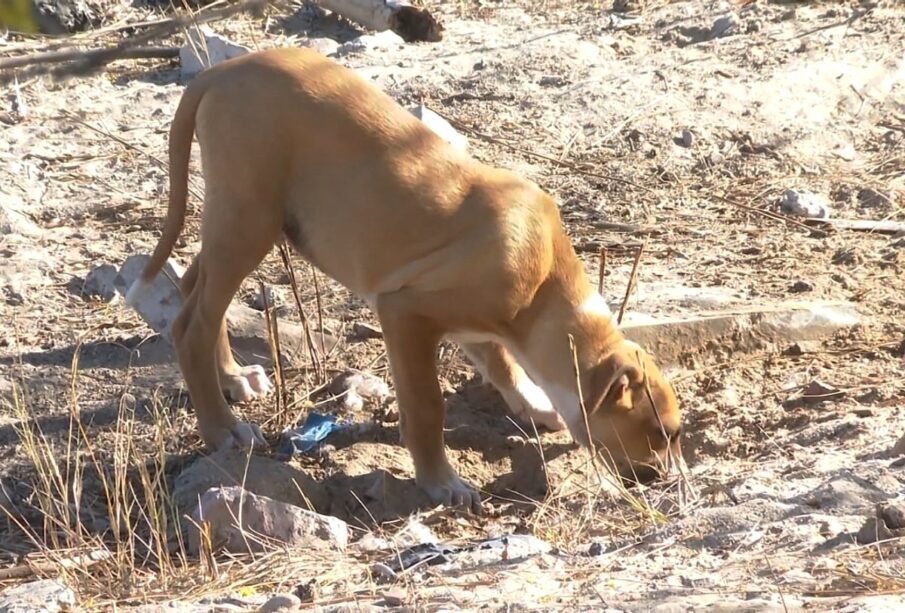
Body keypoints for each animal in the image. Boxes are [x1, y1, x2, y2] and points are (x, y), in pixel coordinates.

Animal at [125, 47, 680, 510]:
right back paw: (223, 430)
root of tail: (222, 71)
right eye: (663, 433)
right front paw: (441, 483)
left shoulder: (476, 324)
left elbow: (502, 365)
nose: (666, 481)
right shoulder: (405, 312)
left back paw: (233, 376)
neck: (545, 282)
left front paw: (534, 404)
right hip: (247, 220)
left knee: (195, 292)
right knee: (191, 325)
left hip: (241, 223)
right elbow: (428, 406)